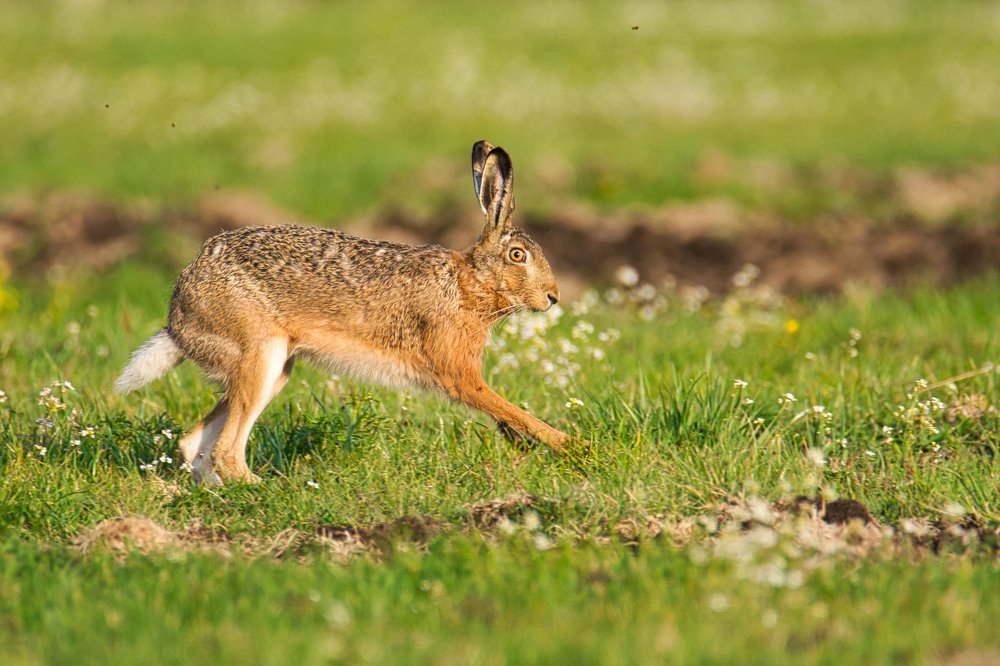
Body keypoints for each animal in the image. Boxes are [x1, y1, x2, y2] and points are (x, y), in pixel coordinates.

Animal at [116, 141, 571, 484]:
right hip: (259, 354)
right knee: (225, 450)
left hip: (273, 368)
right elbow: (504, 406)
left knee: (196, 444)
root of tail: (178, 319)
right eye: (517, 255)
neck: (470, 283)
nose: (553, 297)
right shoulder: (459, 372)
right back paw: (268, 487)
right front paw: (570, 445)